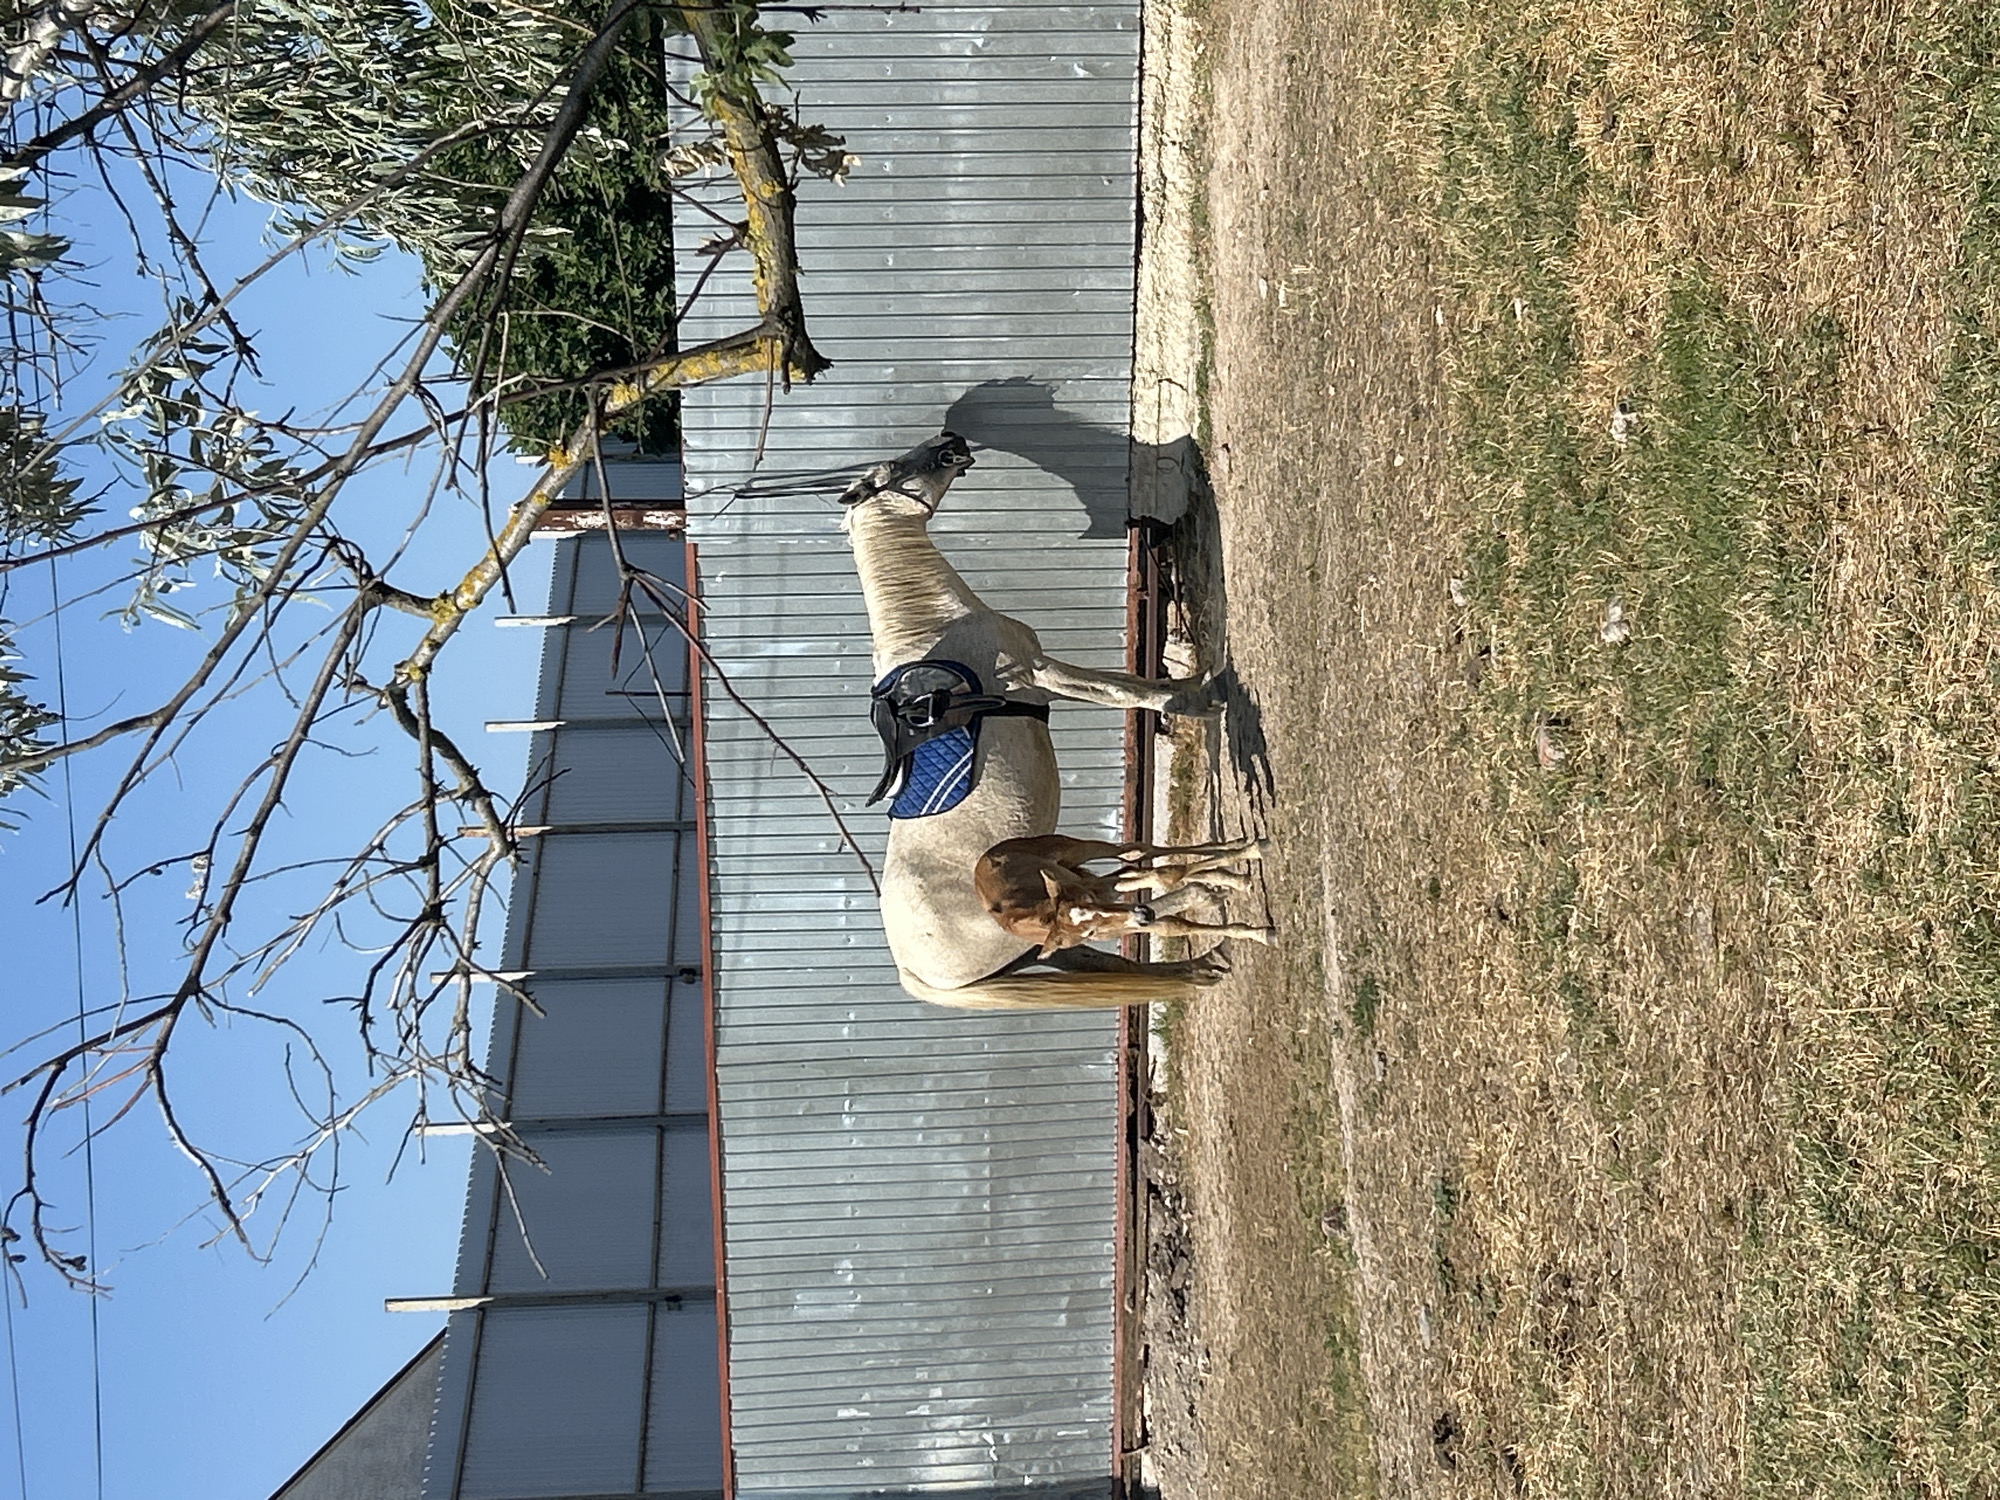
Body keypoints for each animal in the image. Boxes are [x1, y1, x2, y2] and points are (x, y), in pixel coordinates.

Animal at [840, 432, 1233, 1009]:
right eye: (895, 468)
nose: (950, 440)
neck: (929, 625)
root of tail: (914, 971)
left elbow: (1126, 686)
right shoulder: (1041, 671)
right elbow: (1124, 690)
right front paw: (1203, 698)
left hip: (1045, 943)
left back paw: (1210, 958)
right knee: (1129, 912)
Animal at [974, 833, 1276, 956]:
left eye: (1088, 901)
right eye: (1091, 933)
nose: (1143, 914)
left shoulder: (1101, 891)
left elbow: (1167, 874)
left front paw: (1251, 852)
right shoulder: (1121, 923)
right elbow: (1172, 924)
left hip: (1079, 850)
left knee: (1138, 853)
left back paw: (1238, 851)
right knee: (1136, 864)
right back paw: (1224, 879)